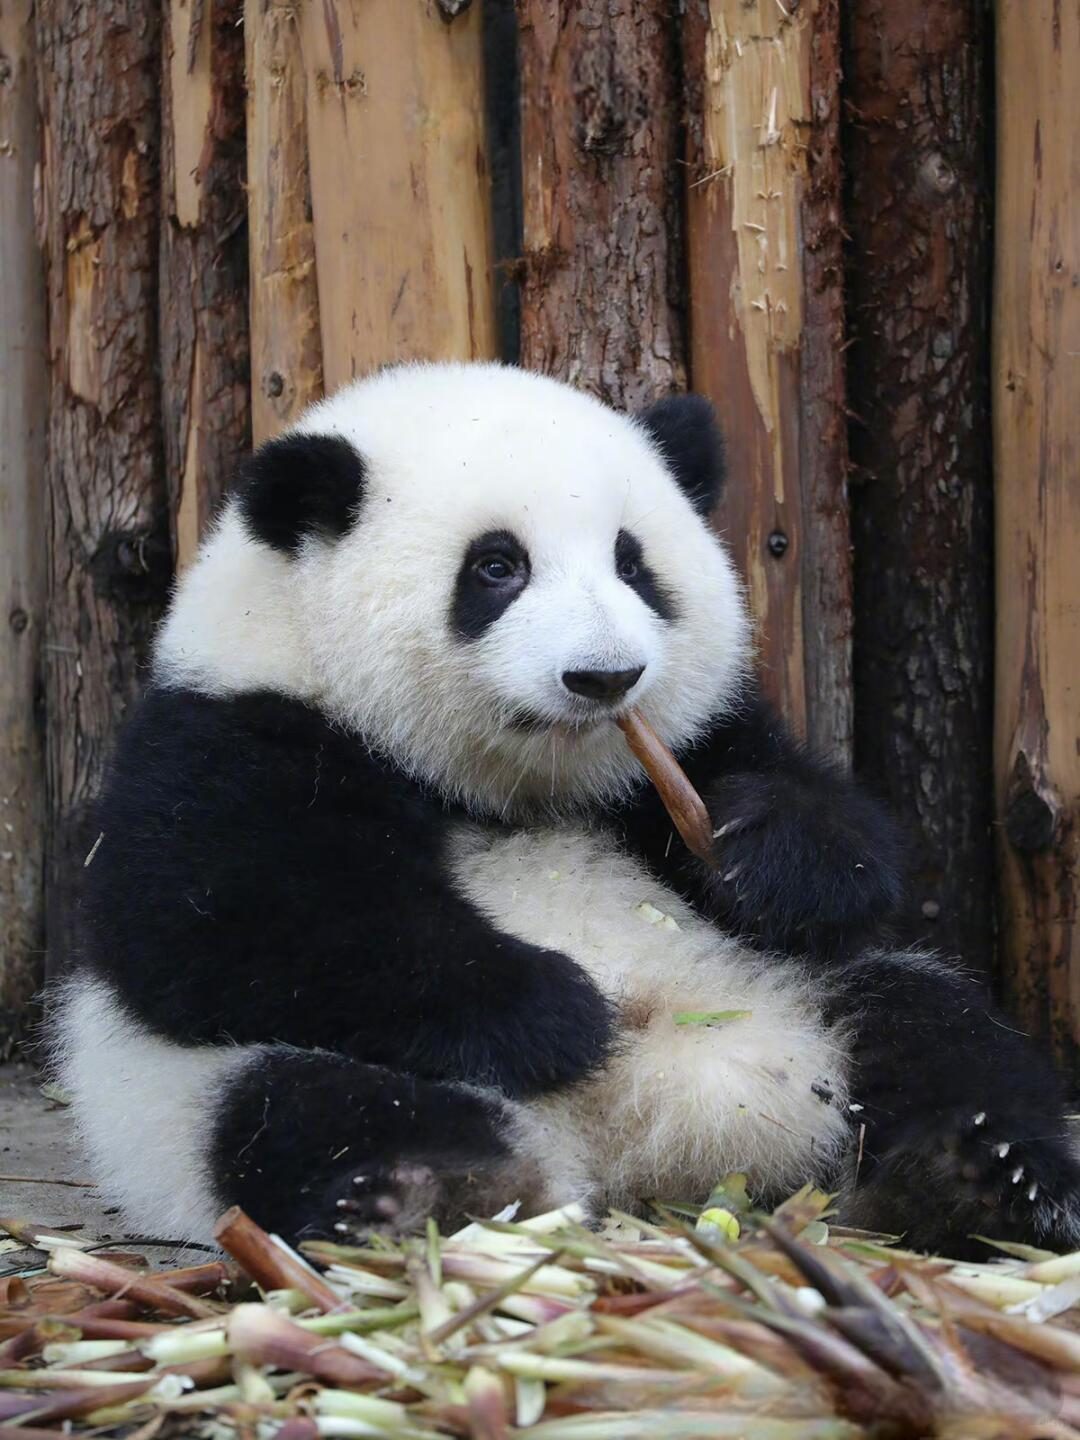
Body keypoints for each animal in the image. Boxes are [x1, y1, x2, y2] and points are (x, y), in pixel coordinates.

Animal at [55, 361, 1080, 1258]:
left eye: (634, 564)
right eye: (496, 566)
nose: (605, 677)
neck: (510, 785)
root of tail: (665, 1147)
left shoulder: (695, 735)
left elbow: (832, 833)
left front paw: (764, 855)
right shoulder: (227, 734)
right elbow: (213, 927)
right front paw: (556, 1009)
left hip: (800, 996)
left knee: (934, 1028)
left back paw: (988, 1174)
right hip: (198, 1092)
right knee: (306, 1106)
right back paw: (427, 1195)